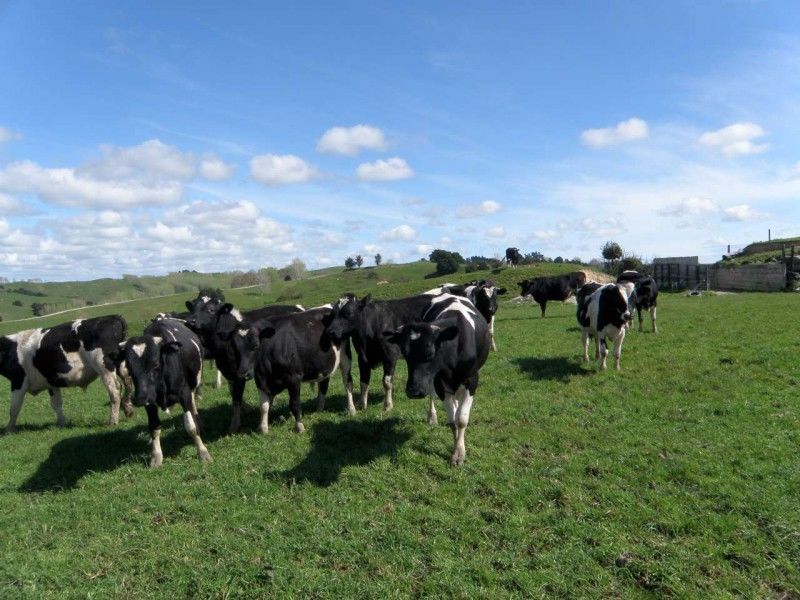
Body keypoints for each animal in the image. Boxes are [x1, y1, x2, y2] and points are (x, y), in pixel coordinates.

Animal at [0, 316, 133, 434]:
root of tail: (113, 317)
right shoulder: (51, 382)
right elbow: (56, 403)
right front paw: (61, 423)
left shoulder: (18, 381)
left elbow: (14, 408)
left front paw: (8, 430)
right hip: (120, 365)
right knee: (128, 383)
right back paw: (128, 409)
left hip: (104, 367)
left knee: (115, 390)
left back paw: (113, 421)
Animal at [111, 316, 209, 466]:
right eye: (129, 366)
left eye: (155, 364)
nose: (139, 398)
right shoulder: (150, 402)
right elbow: (154, 427)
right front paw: (156, 456)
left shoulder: (184, 393)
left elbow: (191, 426)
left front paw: (203, 452)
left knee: (193, 406)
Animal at [185, 302, 306, 434]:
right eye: (193, 308)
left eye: (211, 310)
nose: (190, 322)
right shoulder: (231, 373)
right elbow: (233, 393)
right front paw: (247, 409)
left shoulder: (240, 374)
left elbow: (237, 398)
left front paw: (235, 424)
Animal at [384, 292, 490, 466]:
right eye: (405, 354)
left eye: (430, 352)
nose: (413, 391)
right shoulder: (439, 382)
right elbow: (453, 421)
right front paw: (455, 447)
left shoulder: (472, 380)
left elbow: (461, 419)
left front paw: (459, 453)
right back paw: (432, 416)